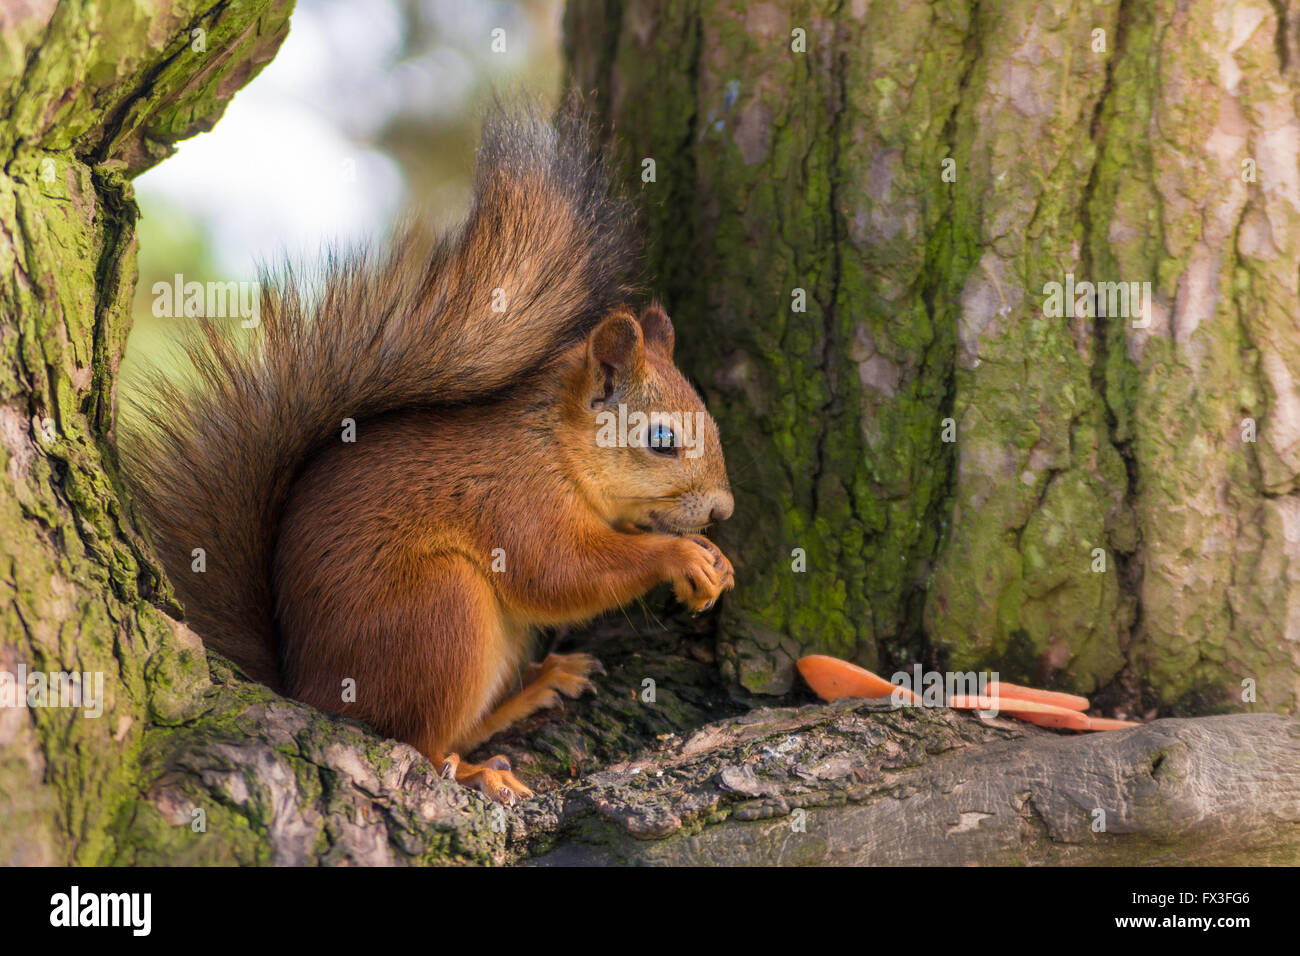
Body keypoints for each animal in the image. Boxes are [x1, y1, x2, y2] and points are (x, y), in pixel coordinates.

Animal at [119, 104, 735, 804]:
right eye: (662, 441)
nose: (723, 511)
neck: (556, 446)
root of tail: (308, 690)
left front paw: (712, 559)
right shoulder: (515, 499)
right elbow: (558, 572)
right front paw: (679, 556)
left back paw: (534, 692)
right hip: (440, 613)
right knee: (417, 740)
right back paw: (475, 768)